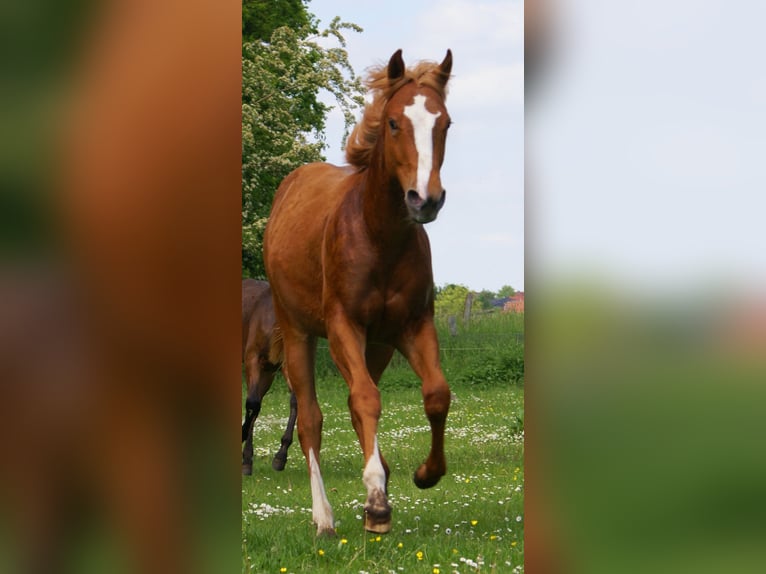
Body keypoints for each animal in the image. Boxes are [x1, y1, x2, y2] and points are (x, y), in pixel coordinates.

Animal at [263, 49, 453, 536]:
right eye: (393, 123)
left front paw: (424, 474)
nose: (425, 200)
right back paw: (325, 518)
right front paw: (376, 503)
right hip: (298, 333)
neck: (378, 237)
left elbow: (436, 394)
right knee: (312, 418)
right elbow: (364, 399)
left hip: (379, 345)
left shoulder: (412, 325)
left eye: (445, 123)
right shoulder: (343, 325)